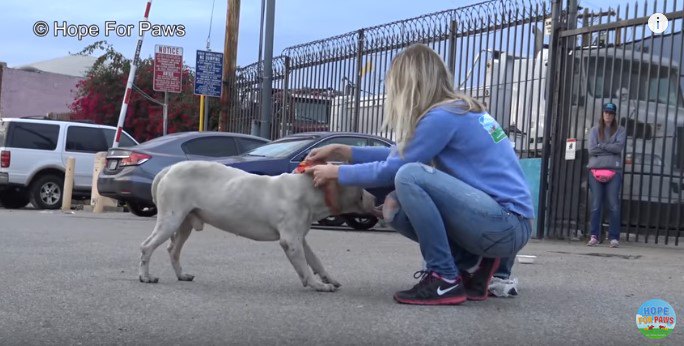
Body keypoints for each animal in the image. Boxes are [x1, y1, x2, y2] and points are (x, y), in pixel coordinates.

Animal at [137, 161, 376, 290]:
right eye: (358, 185)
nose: (375, 198)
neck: (309, 191)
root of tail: (169, 169)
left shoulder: (300, 239)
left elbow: (315, 262)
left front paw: (328, 279)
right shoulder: (291, 241)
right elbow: (306, 268)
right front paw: (316, 285)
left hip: (184, 224)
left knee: (173, 250)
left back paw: (181, 275)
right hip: (171, 220)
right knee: (147, 247)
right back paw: (145, 276)